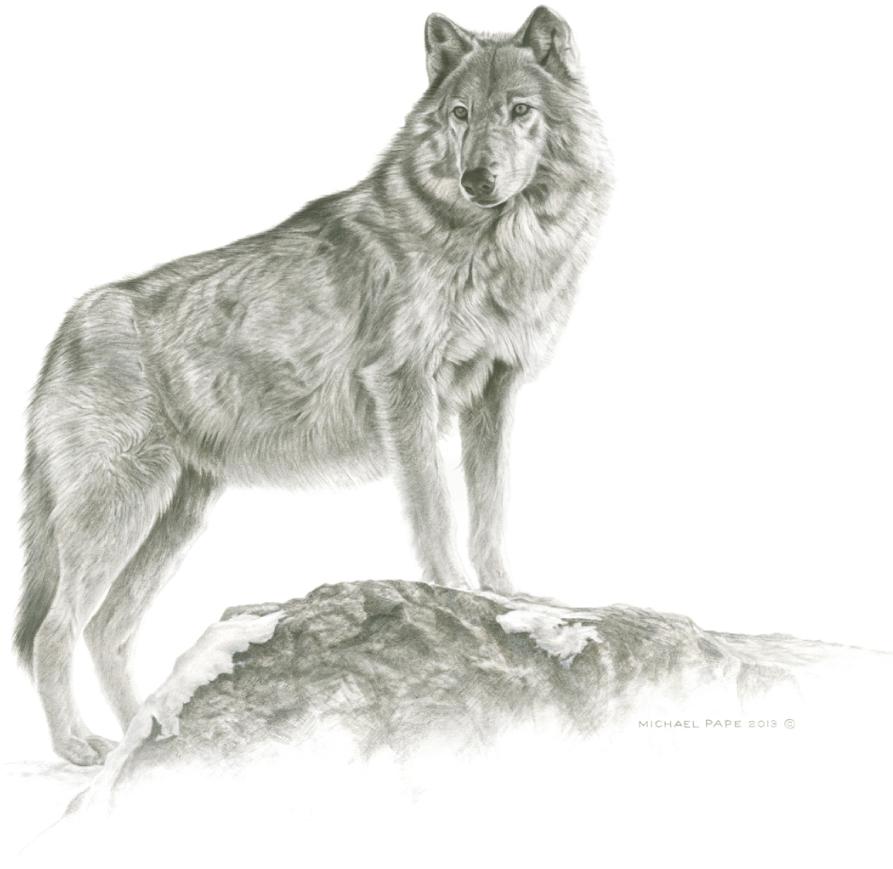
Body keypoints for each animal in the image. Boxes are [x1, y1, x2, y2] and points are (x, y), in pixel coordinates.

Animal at [15, 7, 612, 764]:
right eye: (460, 114)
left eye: (520, 111)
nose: (477, 177)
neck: (492, 243)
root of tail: (70, 324)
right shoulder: (405, 391)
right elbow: (437, 513)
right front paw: (453, 591)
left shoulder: (492, 396)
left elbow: (490, 512)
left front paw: (509, 598)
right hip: (118, 514)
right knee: (54, 630)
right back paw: (79, 747)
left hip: (171, 517)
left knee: (106, 630)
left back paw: (144, 736)